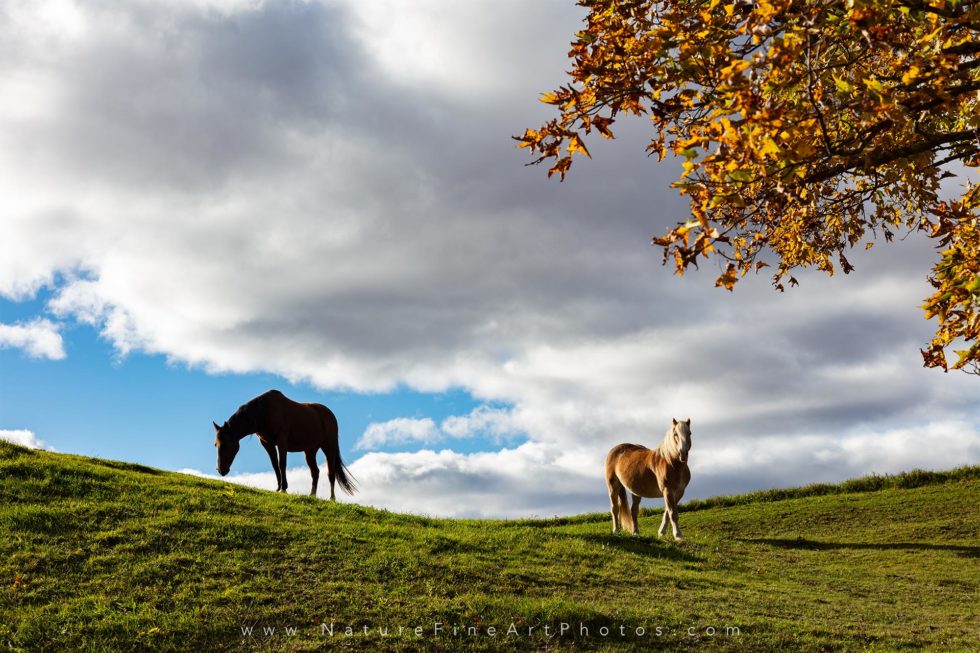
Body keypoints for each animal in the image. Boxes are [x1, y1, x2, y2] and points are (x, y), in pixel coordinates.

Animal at [212, 388, 358, 500]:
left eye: (226, 444)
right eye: (216, 444)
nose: (221, 470)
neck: (263, 412)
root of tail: (330, 415)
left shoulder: (281, 442)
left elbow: (282, 464)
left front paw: (284, 488)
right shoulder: (267, 443)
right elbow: (275, 464)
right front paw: (278, 488)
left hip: (329, 447)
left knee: (331, 473)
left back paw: (332, 498)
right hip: (310, 450)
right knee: (315, 471)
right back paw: (312, 495)